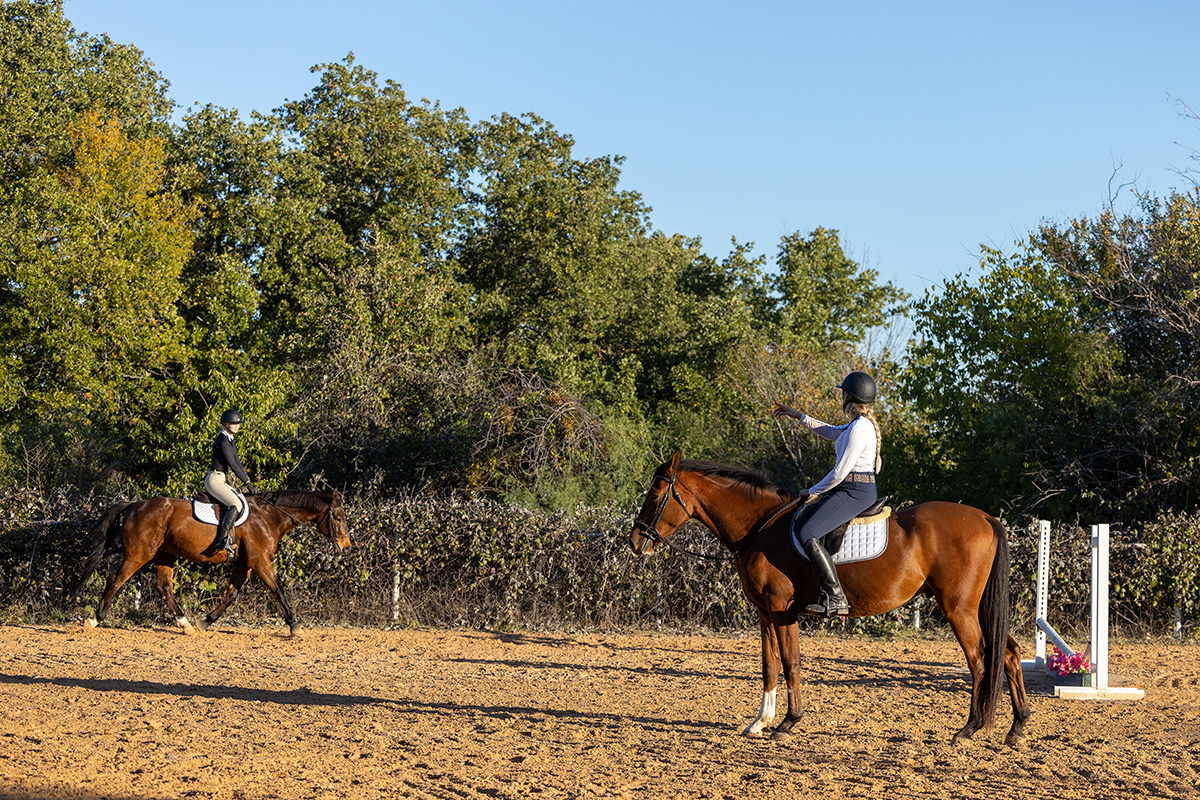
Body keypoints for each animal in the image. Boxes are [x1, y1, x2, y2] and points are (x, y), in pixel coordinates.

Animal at [75, 489, 352, 638]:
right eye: (338, 517)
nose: (347, 547)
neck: (269, 517)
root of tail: (134, 505)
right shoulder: (259, 560)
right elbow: (278, 590)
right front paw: (295, 626)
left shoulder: (244, 563)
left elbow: (231, 596)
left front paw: (205, 621)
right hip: (138, 554)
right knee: (115, 580)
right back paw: (95, 619)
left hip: (165, 555)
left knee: (164, 588)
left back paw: (185, 624)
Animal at [628, 453, 1032, 748]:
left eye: (655, 495)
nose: (635, 541)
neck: (761, 528)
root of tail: (985, 517)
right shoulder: (764, 613)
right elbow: (769, 666)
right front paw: (759, 722)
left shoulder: (781, 611)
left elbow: (790, 662)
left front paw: (787, 723)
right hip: (977, 608)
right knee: (1008, 654)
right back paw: (1017, 727)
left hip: (958, 608)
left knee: (979, 661)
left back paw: (970, 728)